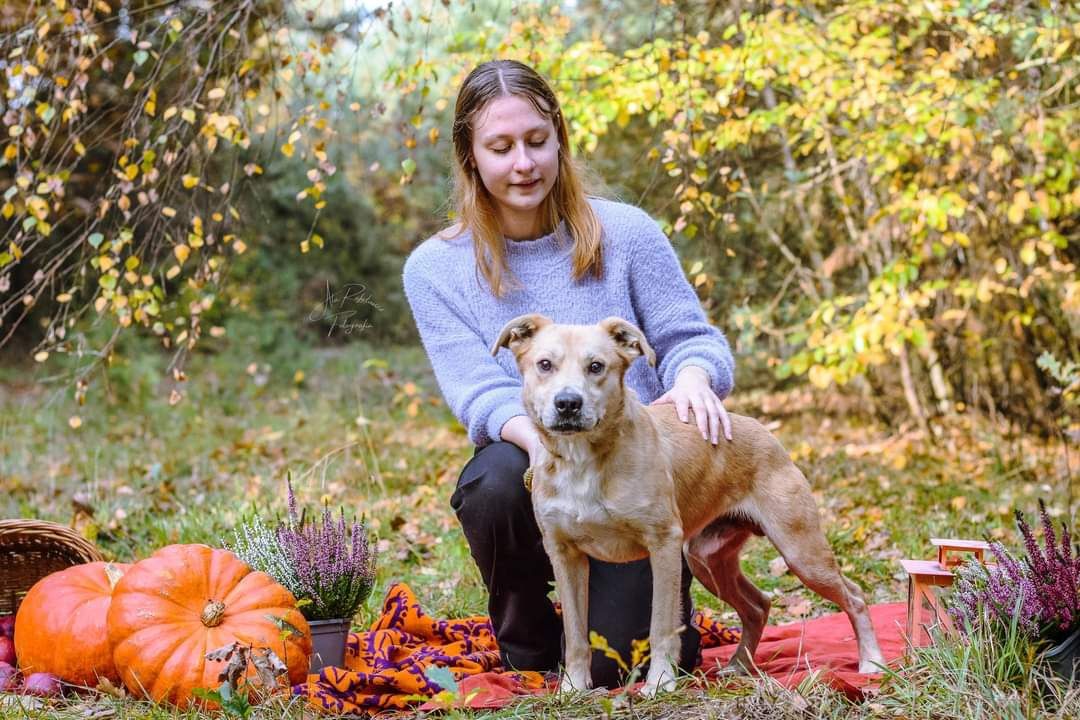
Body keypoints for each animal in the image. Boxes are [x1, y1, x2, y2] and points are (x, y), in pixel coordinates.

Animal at [494, 313, 881, 695]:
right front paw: (573, 688)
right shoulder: (565, 555)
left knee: (854, 597)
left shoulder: (663, 544)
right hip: (707, 559)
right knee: (758, 605)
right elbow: (575, 634)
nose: (568, 403)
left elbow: (661, 626)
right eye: (545, 365)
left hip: (800, 551)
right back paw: (739, 666)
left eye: (596, 366)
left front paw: (660, 682)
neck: (583, 461)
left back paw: (872, 662)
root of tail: (764, 431)